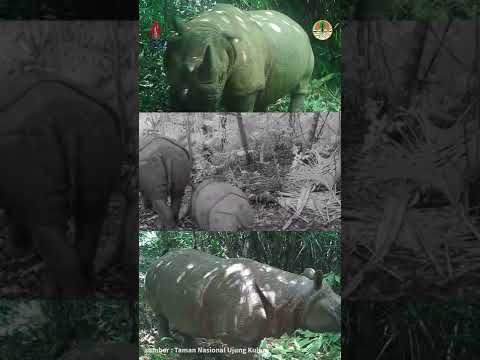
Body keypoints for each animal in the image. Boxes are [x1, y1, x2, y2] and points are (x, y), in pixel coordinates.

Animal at [0, 69, 124, 296]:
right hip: (98, 131)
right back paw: (86, 290)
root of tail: (67, 121)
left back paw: (59, 294)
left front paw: (15, 252)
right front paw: (20, 252)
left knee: (46, 225)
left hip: (31, 142)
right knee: (91, 213)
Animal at [144, 249, 340, 348]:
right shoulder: (237, 336)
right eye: (337, 309)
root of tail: (160, 258)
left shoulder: (257, 330)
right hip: (153, 274)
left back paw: (190, 346)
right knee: (160, 313)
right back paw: (167, 344)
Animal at [165, 3, 316, 112]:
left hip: (308, 48)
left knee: (300, 88)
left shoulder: (247, 87)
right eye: (184, 72)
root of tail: (297, 24)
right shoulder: (175, 83)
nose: (203, 100)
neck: (209, 25)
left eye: (222, 76)